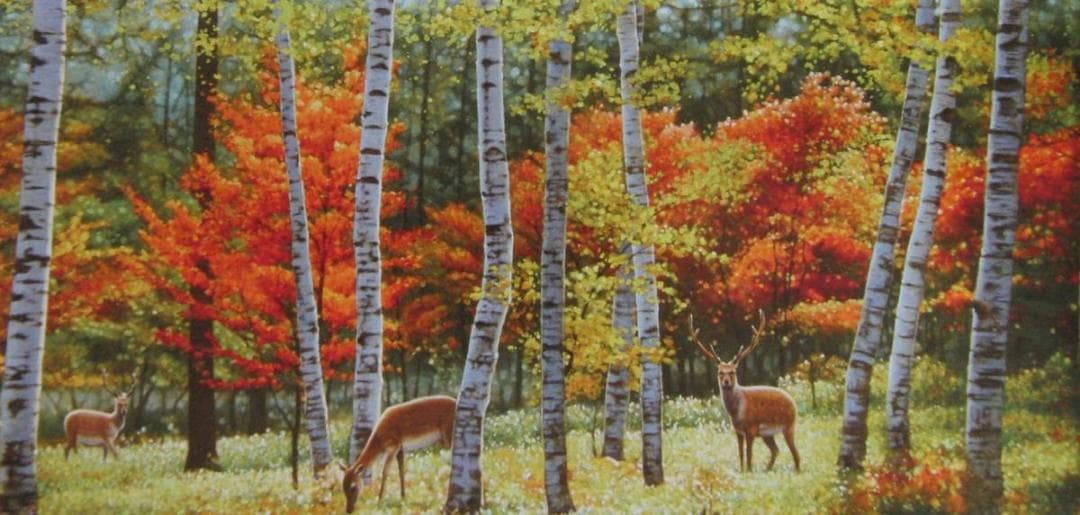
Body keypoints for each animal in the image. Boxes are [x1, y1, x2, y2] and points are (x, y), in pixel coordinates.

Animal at [690, 312, 800, 473]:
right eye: (720, 372)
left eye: (733, 371)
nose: (726, 382)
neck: (737, 413)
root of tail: (793, 401)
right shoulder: (738, 431)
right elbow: (741, 454)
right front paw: (742, 471)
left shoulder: (751, 428)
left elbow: (749, 454)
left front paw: (748, 471)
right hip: (768, 434)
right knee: (776, 450)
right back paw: (767, 470)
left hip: (789, 425)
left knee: (796, 453)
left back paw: (796, 470)